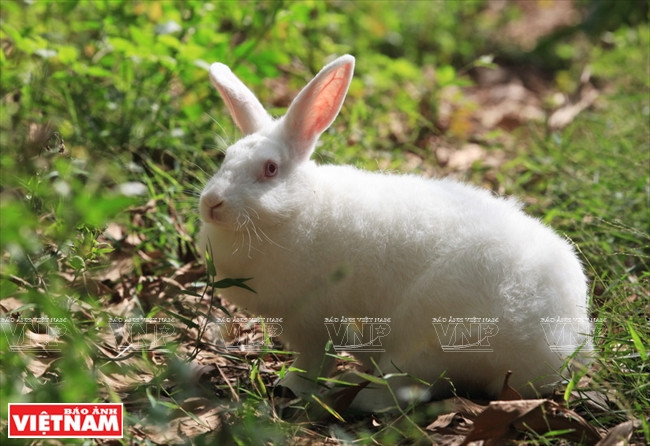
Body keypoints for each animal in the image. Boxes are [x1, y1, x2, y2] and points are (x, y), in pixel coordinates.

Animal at [198, 55, 593, 411]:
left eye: (270, 169)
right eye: (224, 158)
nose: (212, 203)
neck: (296, 211)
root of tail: (562, 348)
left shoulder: (314, 322)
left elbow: (313, 363)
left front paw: (290, 387)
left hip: (431, 341)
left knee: (408, 392)